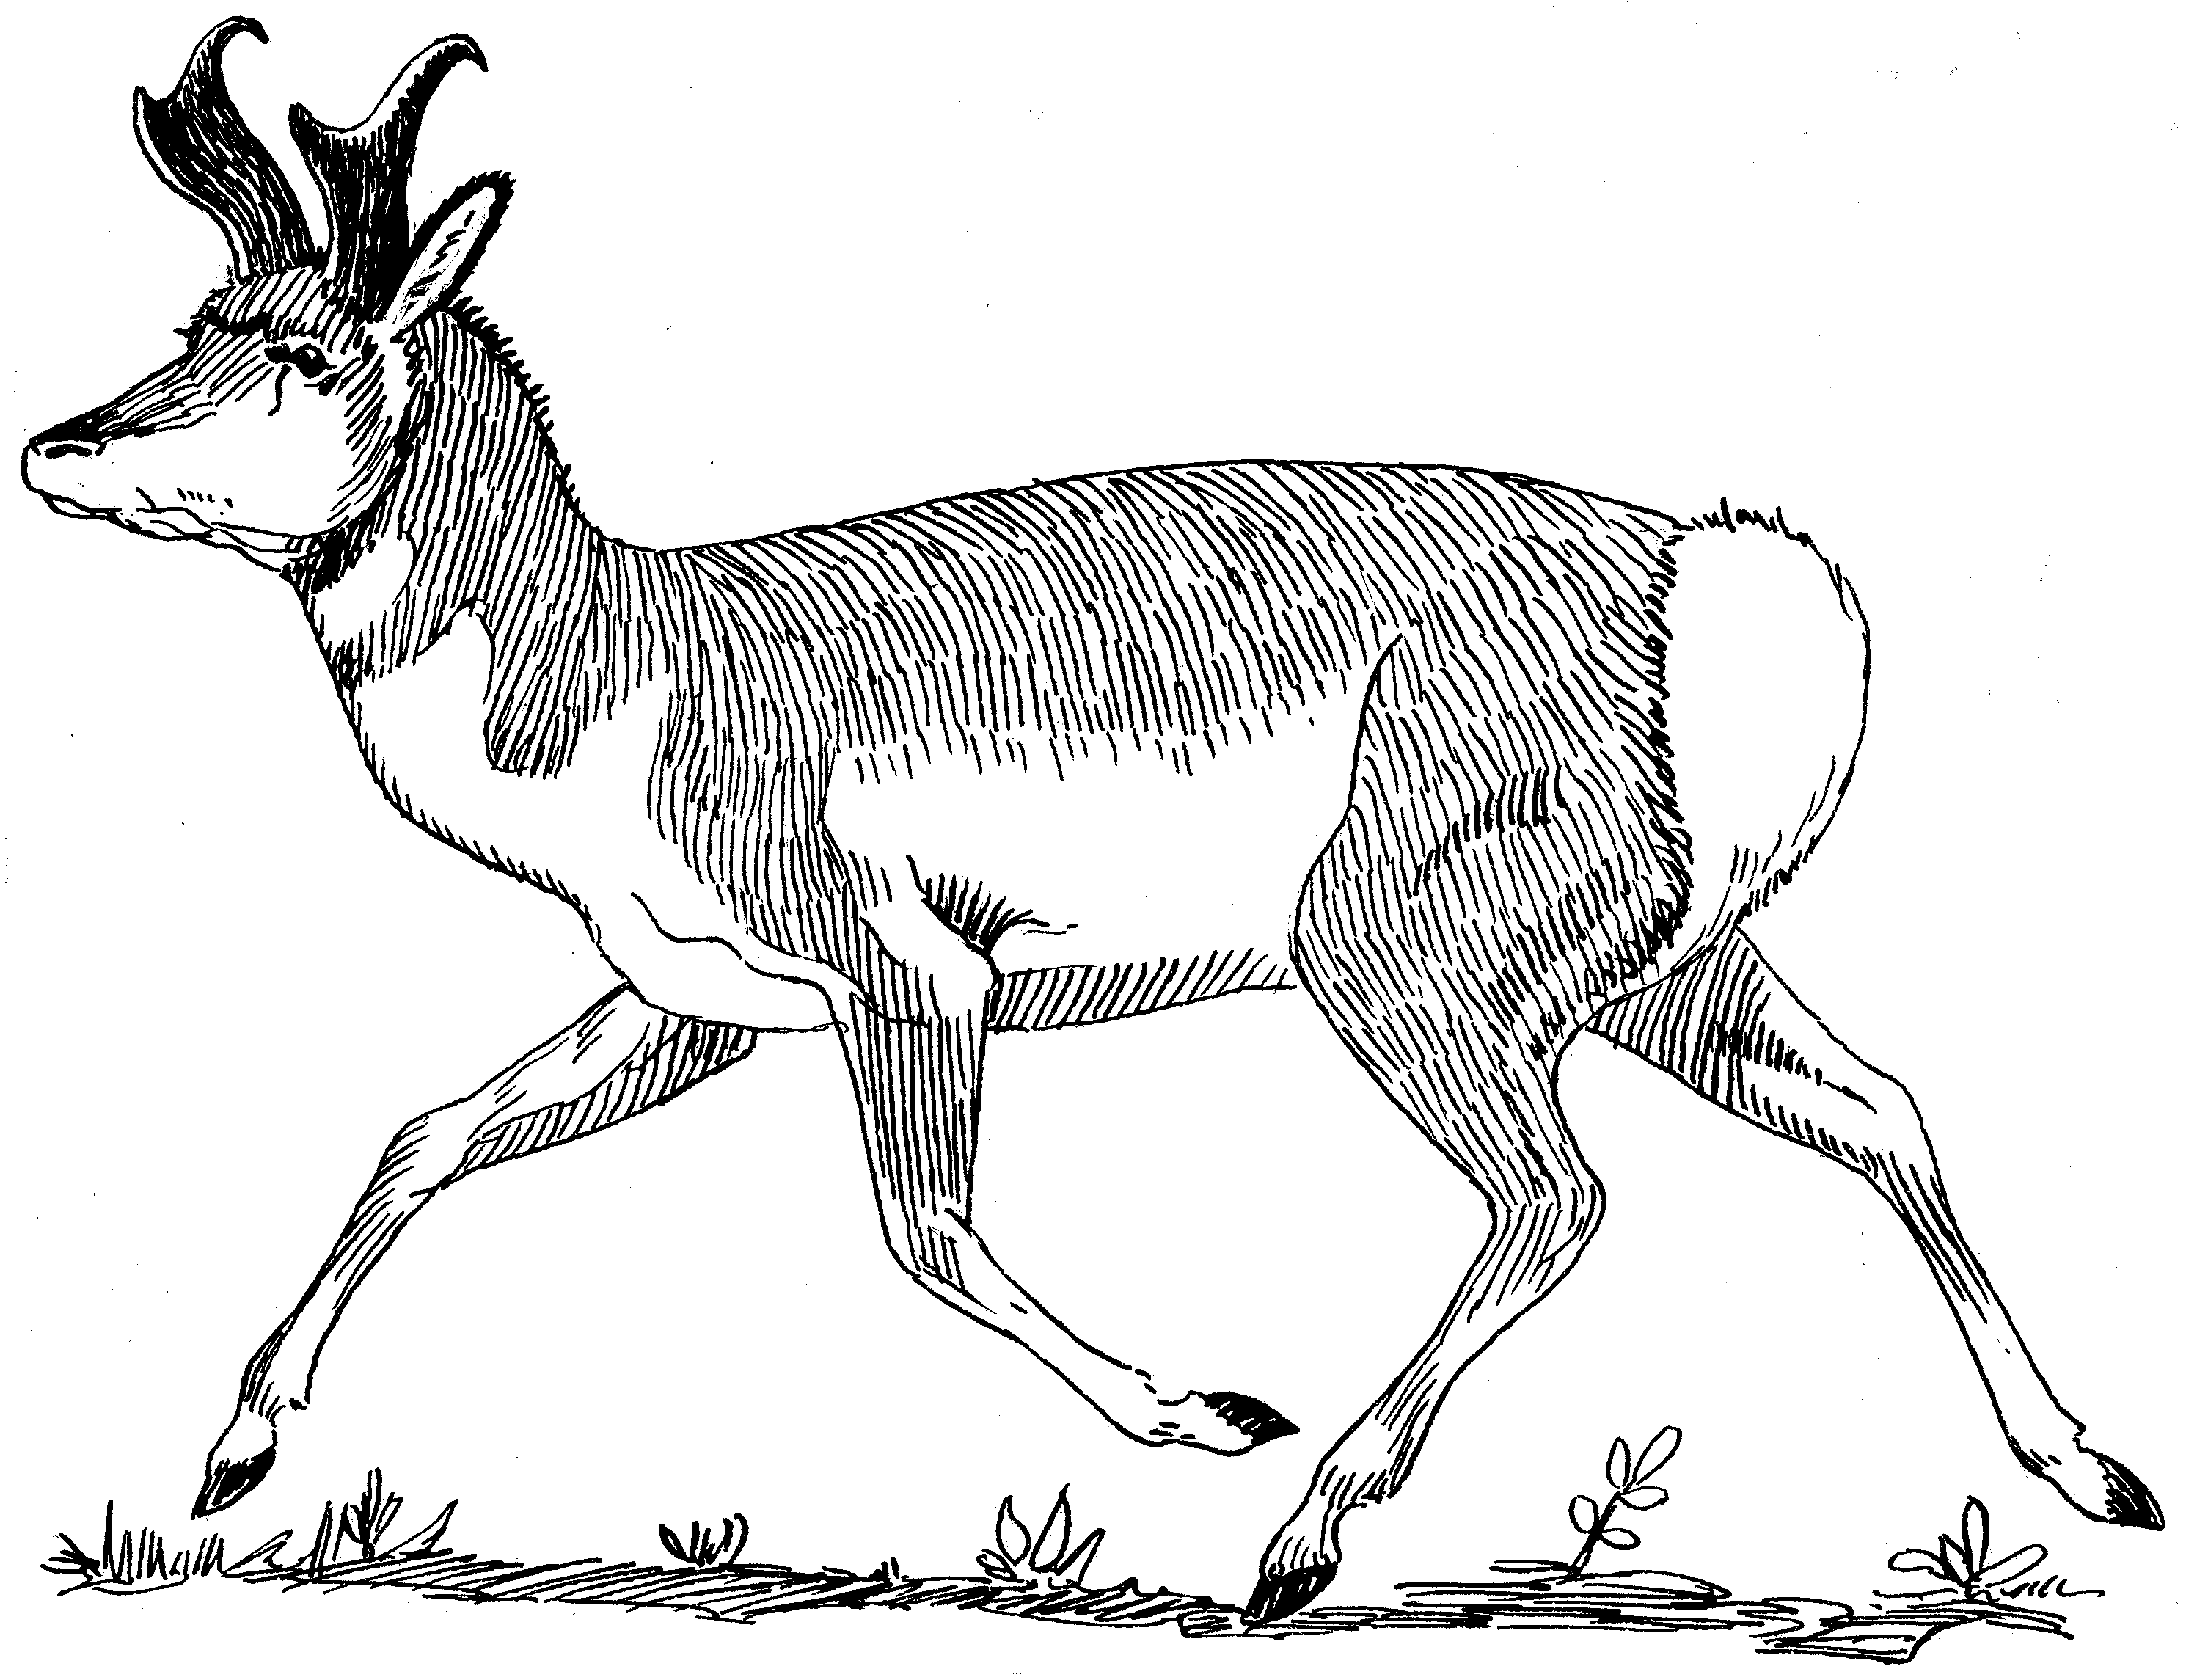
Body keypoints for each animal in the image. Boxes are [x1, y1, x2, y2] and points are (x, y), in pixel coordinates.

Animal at [22, 19, 2161, 1623]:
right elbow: (428, 1132)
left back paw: (1301, 1532)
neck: (623, 650)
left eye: (311, 346)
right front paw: (230, 1452)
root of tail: (1708, 565)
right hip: (1658, 970)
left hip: (1392, 958)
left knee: (1559, 1194)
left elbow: (924, 1229)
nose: (55, 446)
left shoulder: (912, 977)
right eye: (195, 313)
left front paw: (1206, 1411)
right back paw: (2095, 1473)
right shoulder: (693, 1005)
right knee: (1875, 1109)